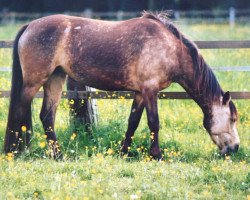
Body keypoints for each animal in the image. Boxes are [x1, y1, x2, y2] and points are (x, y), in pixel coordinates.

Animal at [4, 12, 238, 159]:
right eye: (232, 119)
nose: (235, 148)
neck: (170, 48)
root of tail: (30, 26)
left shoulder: (140, 93)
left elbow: (133, 122)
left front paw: (124, 152)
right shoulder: (150, 91)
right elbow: (154, 123)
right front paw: (157, 155)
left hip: (55, 79)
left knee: (47, 116)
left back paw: (58, 154)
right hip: (34, 82)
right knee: (20, 112)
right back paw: (16, 151)